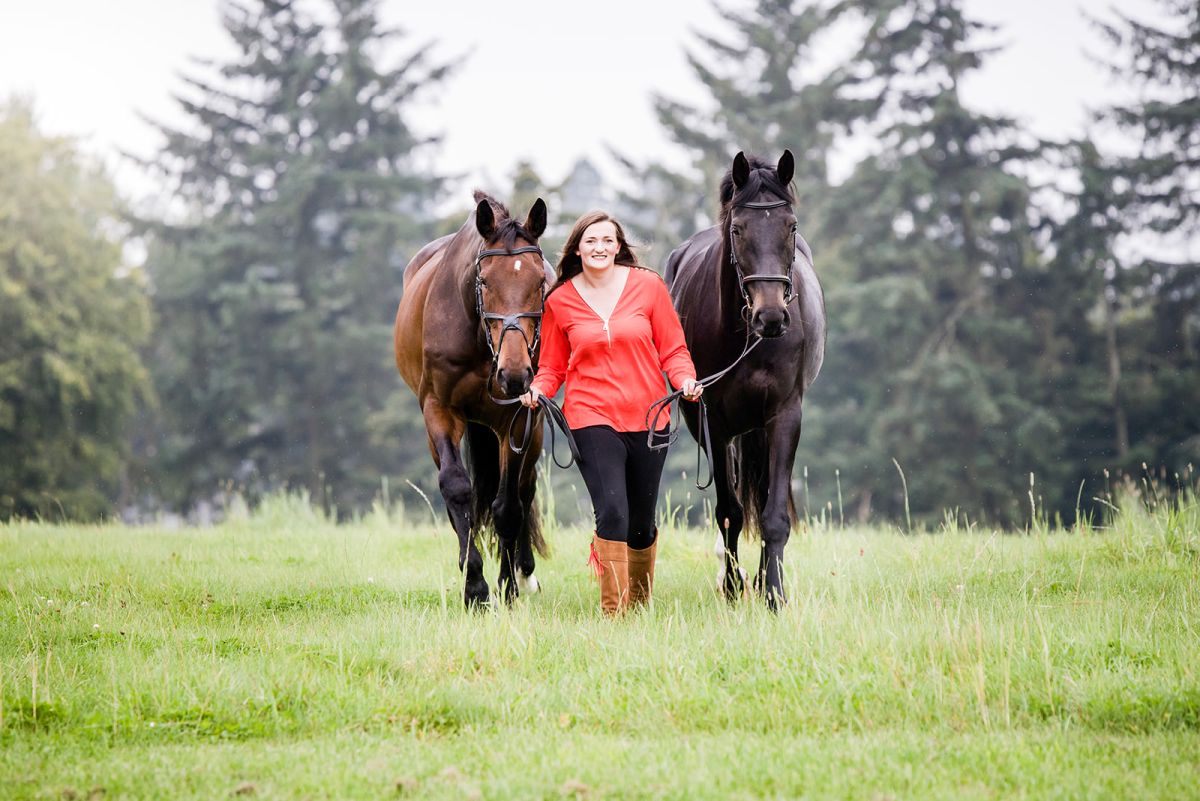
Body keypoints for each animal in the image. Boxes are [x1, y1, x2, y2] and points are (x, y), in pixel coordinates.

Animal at [393, 191, 552, 606]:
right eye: (483, 279)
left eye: (540, 281)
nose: (514, 374)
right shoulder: (439, 409)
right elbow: (456, 488)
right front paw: (476, 587)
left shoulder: (516, 418)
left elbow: (508, 504)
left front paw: (507, 586)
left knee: (525, 488)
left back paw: (525, 572)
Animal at [667, 149, 825, 609]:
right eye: (738, 229)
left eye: (791, 225)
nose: (770, 316)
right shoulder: (714, 424)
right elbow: (729, 511)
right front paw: (734, 587)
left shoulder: (785, 415)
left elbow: (773, 515)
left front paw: (773, 592)